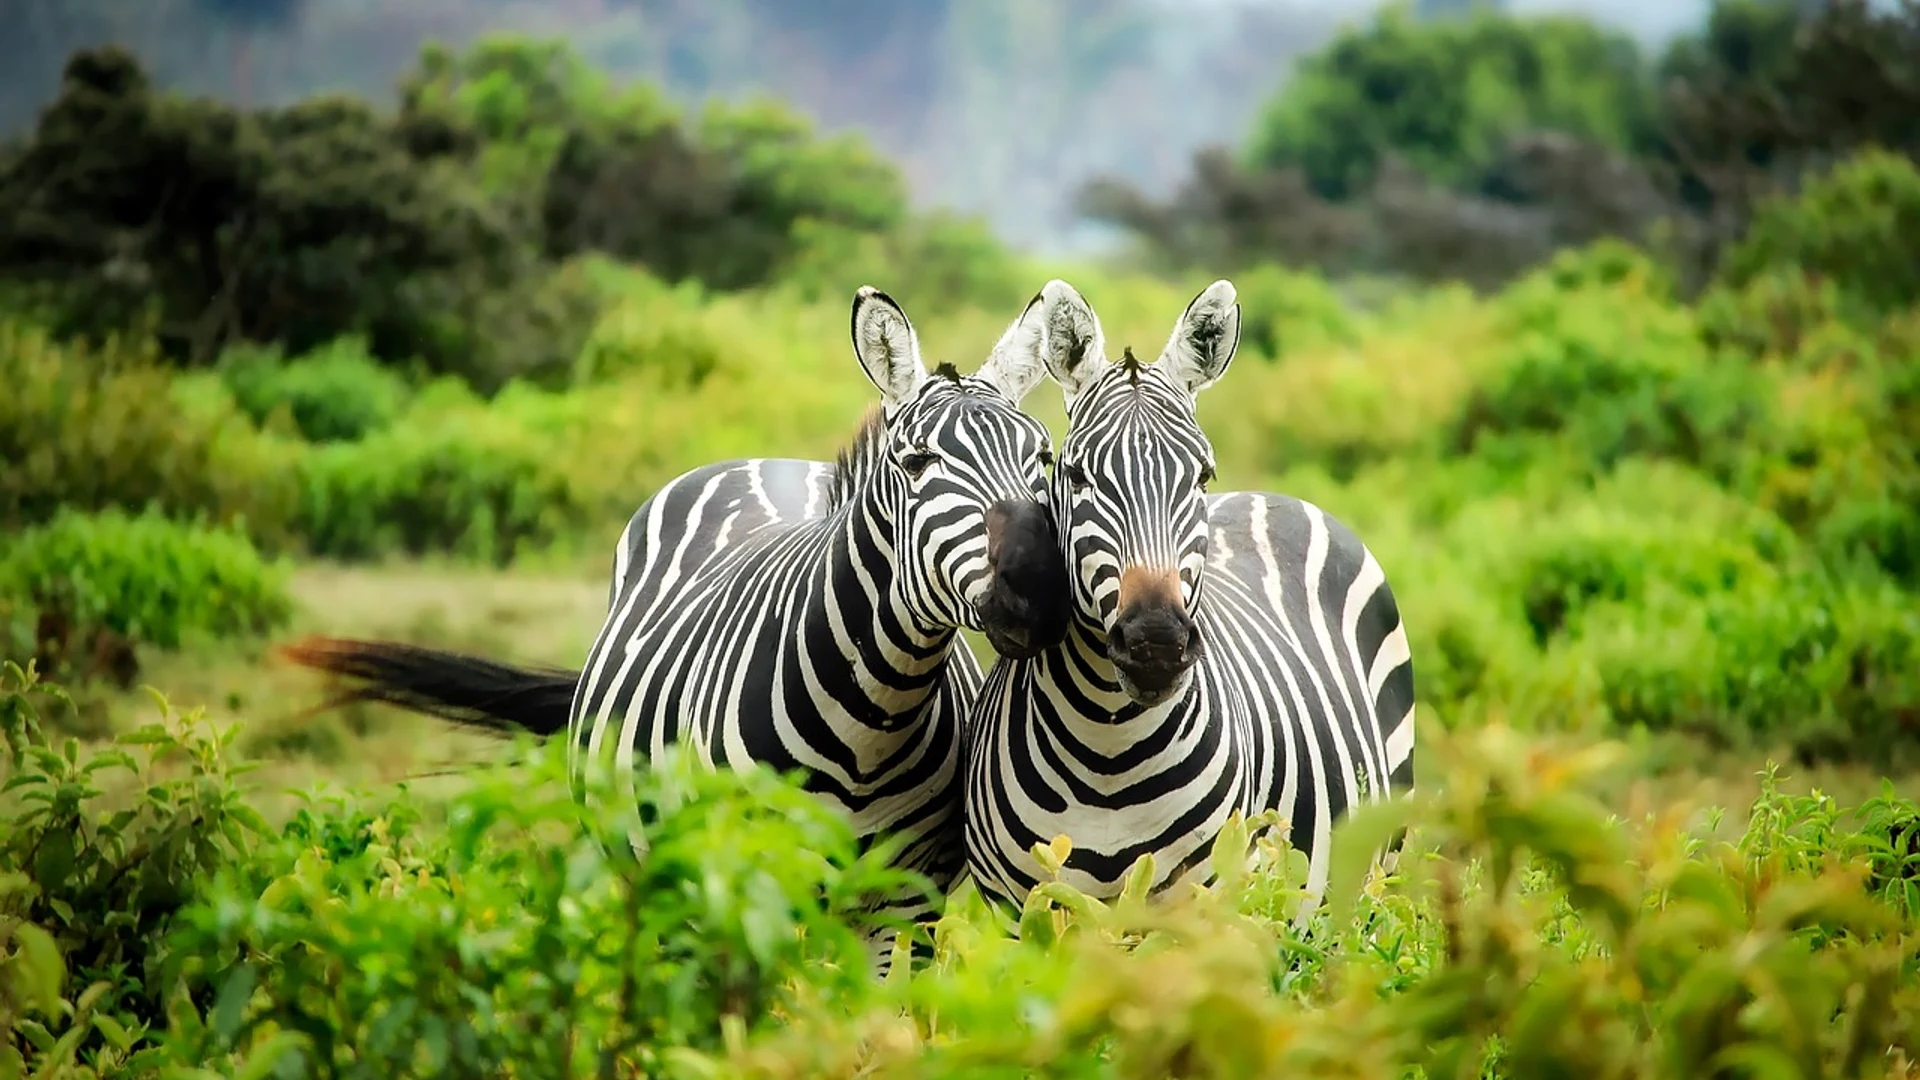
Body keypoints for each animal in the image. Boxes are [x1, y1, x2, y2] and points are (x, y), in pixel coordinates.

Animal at [281, 284, 1074, 977]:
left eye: (1043, 456)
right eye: (918, 462)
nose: (1039, 588)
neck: (871, 723)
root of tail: (767, 462)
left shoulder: (904, 905)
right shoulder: (739, 885)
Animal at [961, 278, 1417, 924]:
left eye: (1202, 476)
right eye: (1075, 475)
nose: (1155, 643)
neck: (1107, 750)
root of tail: (1271, 495)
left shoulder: (1205, 908)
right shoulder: (1021, 911)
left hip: (1374, 875)